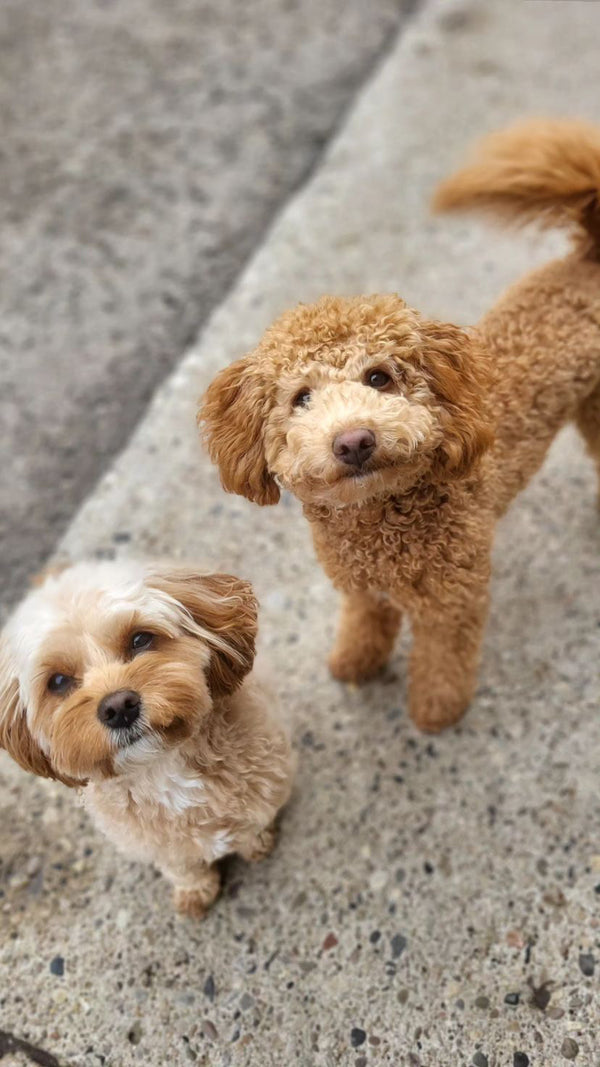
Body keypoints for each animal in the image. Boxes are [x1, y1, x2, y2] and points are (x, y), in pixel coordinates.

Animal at [0, 559, 292, 917]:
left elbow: (253, 826)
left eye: (140, 639)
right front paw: (196, 891)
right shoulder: (157, 847)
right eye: (57, 681)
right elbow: (183, 868)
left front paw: (258, 845)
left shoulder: (265, 791)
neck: (163, 769)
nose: (118, 707)